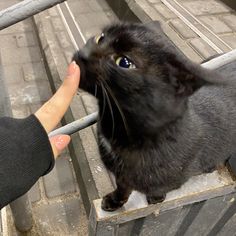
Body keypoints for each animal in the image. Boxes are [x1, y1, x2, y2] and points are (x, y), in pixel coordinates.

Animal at [73, 21, 236, 211]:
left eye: (124, 62)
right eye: (101, 38)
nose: (83, 53)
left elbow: (156, 190)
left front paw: (155, 199)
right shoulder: (122, 176)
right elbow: (123, 187)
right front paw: (114, 201)